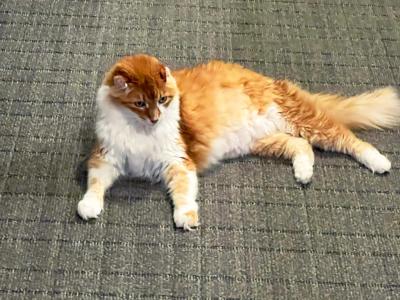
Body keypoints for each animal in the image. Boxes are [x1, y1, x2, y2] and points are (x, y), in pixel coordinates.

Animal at [77, 53, 400, 230]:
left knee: (350, 140)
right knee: (302, 146)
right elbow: (95, 185)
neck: (140, 132)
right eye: (141, 103)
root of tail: (271, 80)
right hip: (266, 141)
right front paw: (88, 207)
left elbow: (183, 194)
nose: (156, 118)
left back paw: (380, 162)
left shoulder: (178, 161)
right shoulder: (105, 157)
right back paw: (304, 174)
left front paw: (186, 218)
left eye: (163, 100)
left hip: (308, 122)